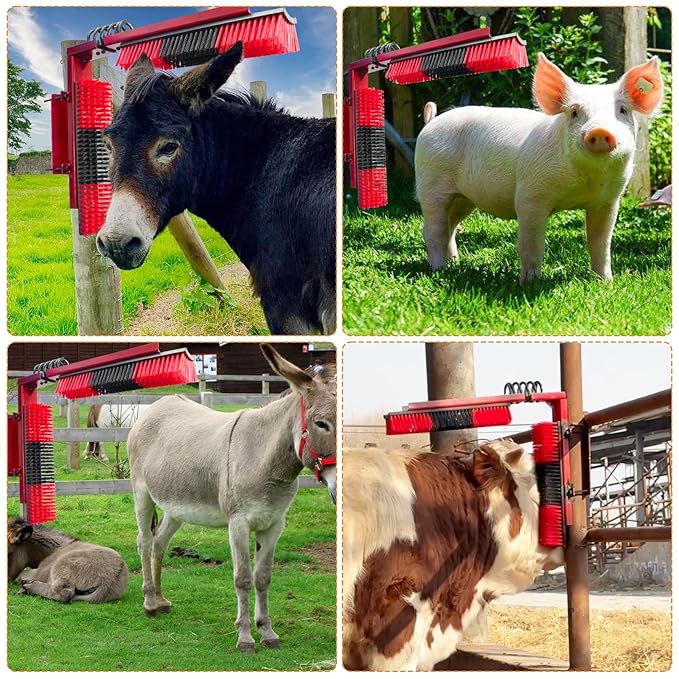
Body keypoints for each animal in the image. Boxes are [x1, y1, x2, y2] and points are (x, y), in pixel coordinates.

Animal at [126, 344, 336, 651]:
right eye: (321, 424)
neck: (264, 459)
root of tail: (159, 403)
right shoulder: (238, 524)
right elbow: (243, 578)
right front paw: (245, 637)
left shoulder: (274, 524)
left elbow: (263, 577)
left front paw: (267, 632)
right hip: (142, 494)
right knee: (143, 541)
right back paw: (149, 602)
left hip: (175, 507)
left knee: (158, 542)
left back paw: (162, 600)